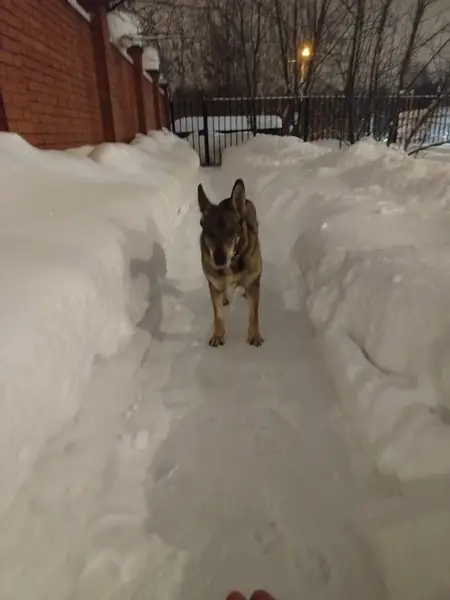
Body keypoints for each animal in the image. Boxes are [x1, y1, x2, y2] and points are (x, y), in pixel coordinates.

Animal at [198, 178, 264, 347]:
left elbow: (254, 314)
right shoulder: (214, 284)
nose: (219, 261)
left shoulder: (253, 282)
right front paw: (217, 335)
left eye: (230, 233)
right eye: (211, 234)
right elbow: (218, 314)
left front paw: (254, 335)